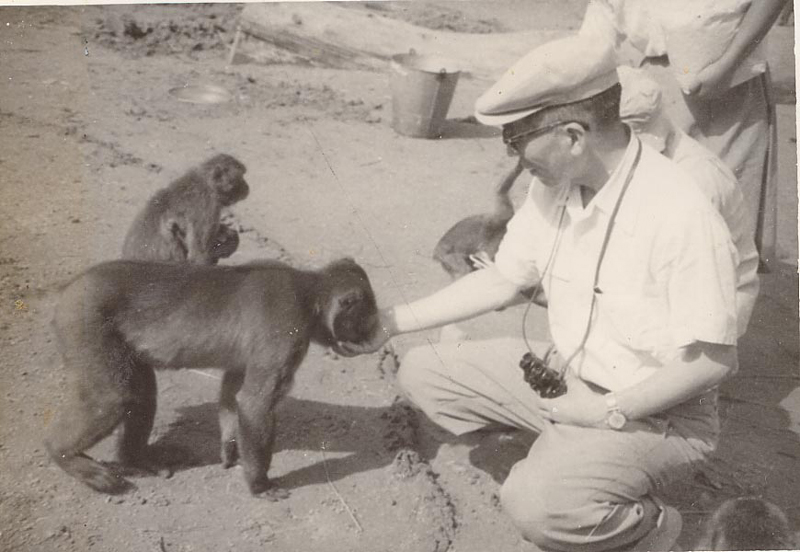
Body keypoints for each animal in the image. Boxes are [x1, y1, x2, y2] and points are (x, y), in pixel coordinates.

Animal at [45, 256, 380, 498]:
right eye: (366, 320)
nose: (372, 335)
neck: (307, 292)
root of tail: (70, 288)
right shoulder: (287, 327)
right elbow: (255, 403)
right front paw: (259, 484)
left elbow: (234, 390)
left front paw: (231, 447)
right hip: (86, 325)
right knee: (115, 397)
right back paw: (62, 454)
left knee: (142, 392)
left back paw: (136, 458)